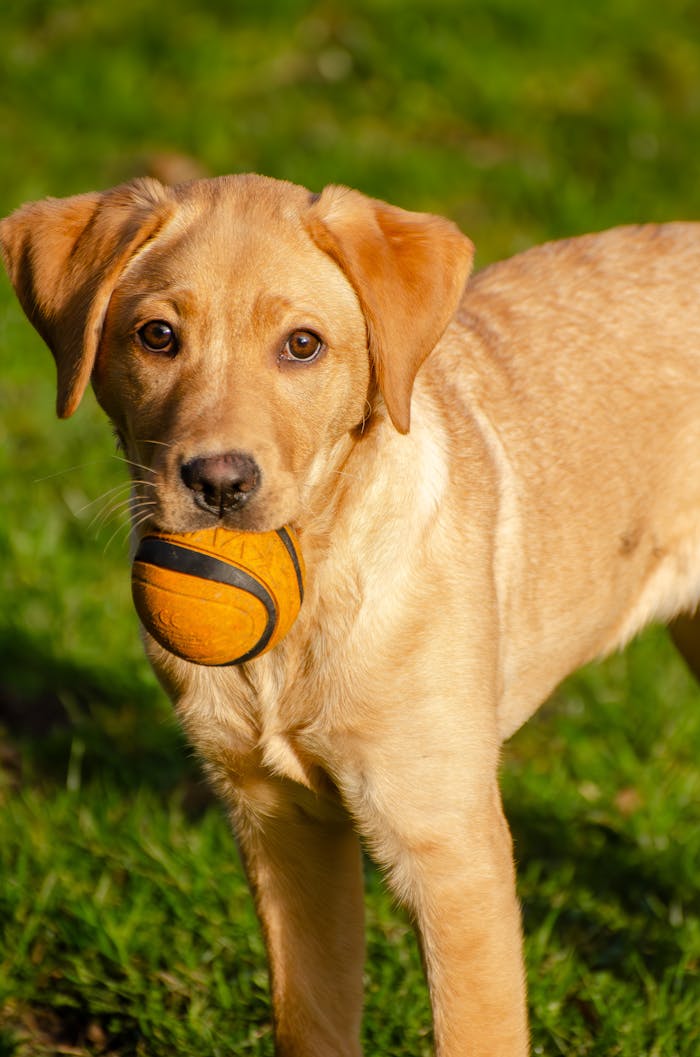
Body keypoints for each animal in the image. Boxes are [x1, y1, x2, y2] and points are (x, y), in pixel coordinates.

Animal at [1, 177, 700, 1052]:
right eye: (157, 336)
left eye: (303, 345)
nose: (220, 482)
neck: (311, 598)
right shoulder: (279, 823)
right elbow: (313, 1018)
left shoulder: (450, 847)